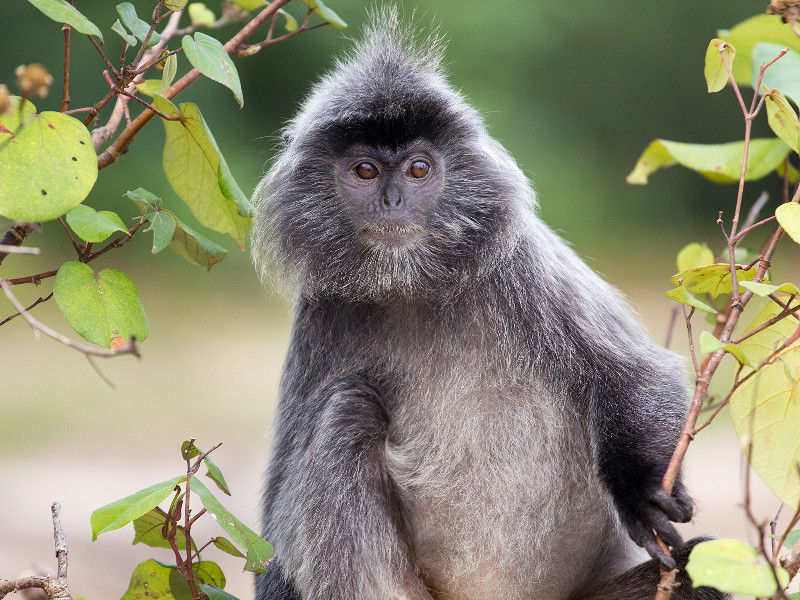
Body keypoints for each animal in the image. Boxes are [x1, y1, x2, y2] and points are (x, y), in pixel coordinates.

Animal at [250, 8, 724, 600]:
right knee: (349, 409)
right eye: (365, 171)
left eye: (418, 169)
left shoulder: (520, 264)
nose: (392, 201)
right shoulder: (324, 310)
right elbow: (275, 524)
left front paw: (640, 495)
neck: (412, 285)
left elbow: (636, 376)